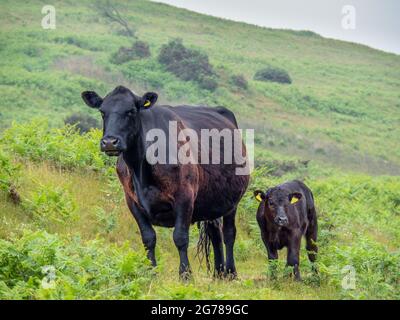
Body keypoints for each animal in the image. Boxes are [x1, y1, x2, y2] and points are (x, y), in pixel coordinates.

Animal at [81, 86, 248, 278]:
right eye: (102, 112)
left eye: (131, 111)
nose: (109, 142)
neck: (141, 171)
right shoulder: (132, 201)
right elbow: (148, 238)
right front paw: (150, 271)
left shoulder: (185, 196)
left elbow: (180, 237)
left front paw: (185, 275)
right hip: (212, 201)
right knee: (215, 234)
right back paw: (218, 274)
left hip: (232, 200)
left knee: (229, 233)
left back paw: (231, 273)